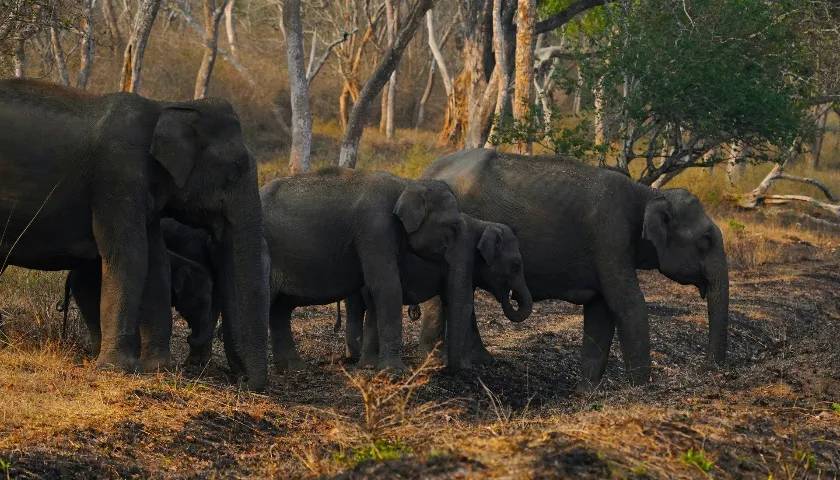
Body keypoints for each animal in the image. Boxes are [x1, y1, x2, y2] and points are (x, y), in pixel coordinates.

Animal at [0, 79, 268, 390]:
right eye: (234, 171)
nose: (243, 381)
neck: (166, 107)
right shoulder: (117, 177)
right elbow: (130, 256)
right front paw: (116, 369)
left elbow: (157, 263)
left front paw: (157, 368)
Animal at [260, 168, 472, 372]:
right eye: (453, 226)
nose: (448, 369)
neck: (406, 183)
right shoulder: (376, 228)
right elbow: (387, 286)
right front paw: (395, 371)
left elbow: (373, 292)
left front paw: (369, 366)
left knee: (281, 308)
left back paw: (292, 368)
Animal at [342, 214, 532, 368]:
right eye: (516, 265)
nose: (513, 296)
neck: (483, 224)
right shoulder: (462, 255)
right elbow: (462, 303)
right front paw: (461, 367)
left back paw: (366, 364)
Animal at [424, 149, 732, 390]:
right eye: (705, 240)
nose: (708, 370)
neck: (649, 194)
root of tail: (429, 170)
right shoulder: (610, 236)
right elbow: (628, 304)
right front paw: (641, 389)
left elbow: (601, 311)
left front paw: (587, 391)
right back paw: (438, 362)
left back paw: (477, 362)